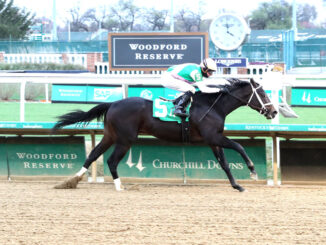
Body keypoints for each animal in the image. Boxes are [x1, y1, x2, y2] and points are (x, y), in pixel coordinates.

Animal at [53, 78, 278, 191]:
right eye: (263, 93)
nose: (274, 111)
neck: (212, 106)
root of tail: (113, 103)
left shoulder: (213, 140)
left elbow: (224, 163)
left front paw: (236, 185)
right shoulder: (213, 137)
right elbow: (239, 146)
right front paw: (253, 171)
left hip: (110, 136)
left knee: (93, 155)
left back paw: (72, 180)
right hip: (125, 139)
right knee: (111, 160)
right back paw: (119, 186)